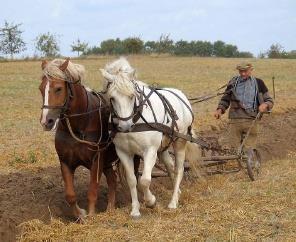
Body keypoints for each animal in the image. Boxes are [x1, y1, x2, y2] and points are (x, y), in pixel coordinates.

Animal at [38, 58, 118, 221]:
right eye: (41, 88)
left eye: (58, 88)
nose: (46, 122)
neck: (81, 123)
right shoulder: (65, 161)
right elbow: (70, 195)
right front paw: (80, 214)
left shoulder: (97, 160)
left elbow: (92, 190)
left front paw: (91, 215)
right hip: (107, 162)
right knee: (113, 180)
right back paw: (110, 209)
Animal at [100, 57, 201, 218]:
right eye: (112, 98)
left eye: (132, 96)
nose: (125, 126)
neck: (136, 119)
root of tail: (181, 95)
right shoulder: (123, 152)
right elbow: (132, 180)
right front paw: (135, 210)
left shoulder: (150, 151)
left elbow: (145, 180)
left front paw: (151, 202)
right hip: (163, 146)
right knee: (170, 166)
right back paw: (177, 192)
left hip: (180, 141)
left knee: (178, 170)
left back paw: (173, 202)